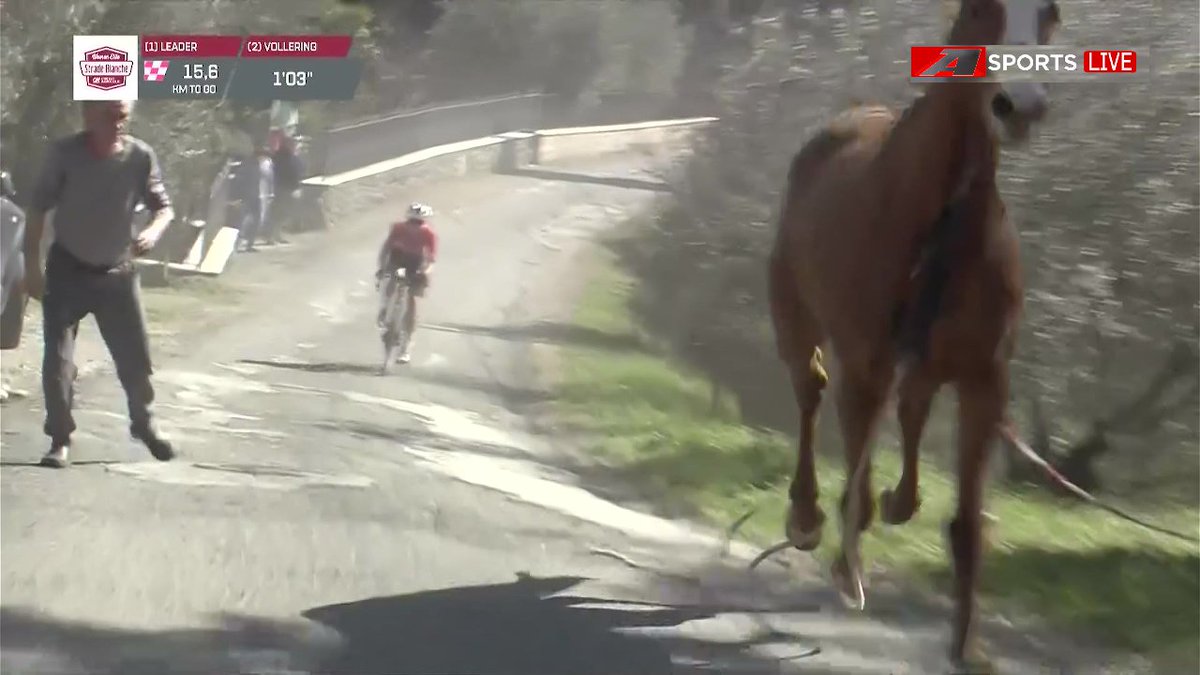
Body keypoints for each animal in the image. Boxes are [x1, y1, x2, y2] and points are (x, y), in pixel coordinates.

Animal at [768, 0, 1060, 667]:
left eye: (1050, 13)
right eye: (981, 9)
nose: (1020, 106)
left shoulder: (985, 378)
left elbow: (969, 521)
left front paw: (967, 647)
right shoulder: (865, 359)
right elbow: (855, 467)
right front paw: (846, 565)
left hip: (922, 364)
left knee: (909, 410)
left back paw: (899, 502)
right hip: (795, 312)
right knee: (811, 389)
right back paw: (809, 517)